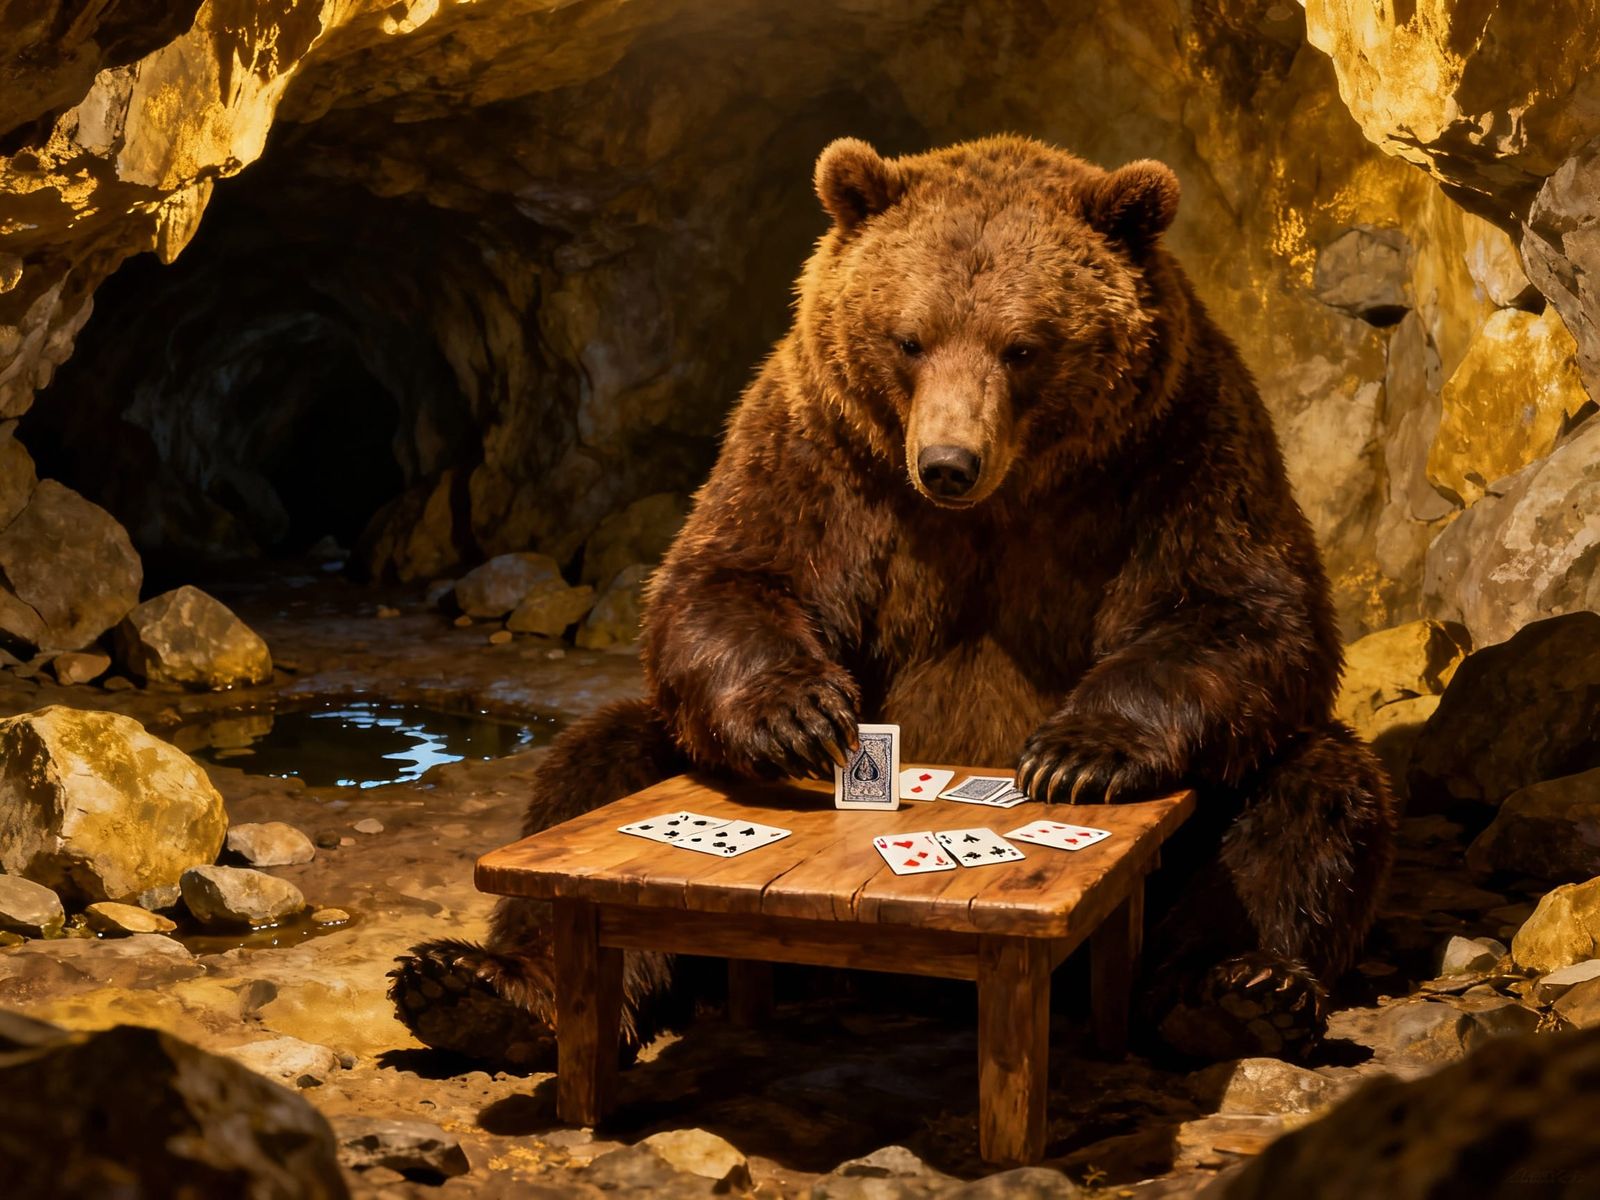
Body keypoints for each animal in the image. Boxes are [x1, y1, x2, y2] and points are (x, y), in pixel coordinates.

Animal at [389, 134, 1396, 1066]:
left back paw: (1241, 993)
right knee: (599, 756)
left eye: (1023, 346)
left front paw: (1076, 754)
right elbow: (729, 574)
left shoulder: (1177, 446)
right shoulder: (821, 444)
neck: (1009, 498)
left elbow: (1246, 607)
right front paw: (801, 715)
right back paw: (483, 989)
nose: (948, 463)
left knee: (1308, 798)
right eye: (910, 338)